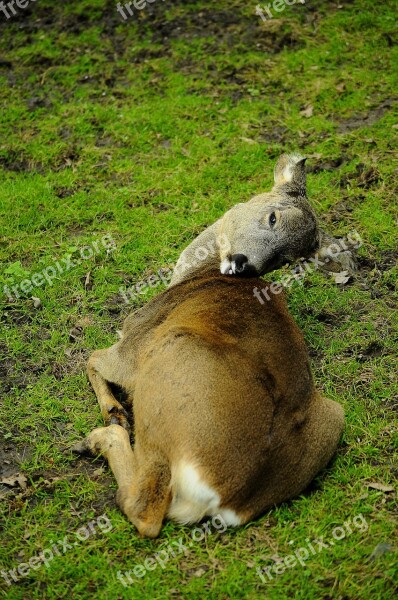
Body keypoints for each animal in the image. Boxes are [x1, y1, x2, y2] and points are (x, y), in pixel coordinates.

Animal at [72, 152, 358, 536]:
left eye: (285, 257)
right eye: (272, 217)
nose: (243, 263)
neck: (197, 272)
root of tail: (226, 497)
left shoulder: (133, 342)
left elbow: (91, 357)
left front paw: (112, 408)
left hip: (170, 356)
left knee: (146, 511)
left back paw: (102, 435)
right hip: (336, 413)